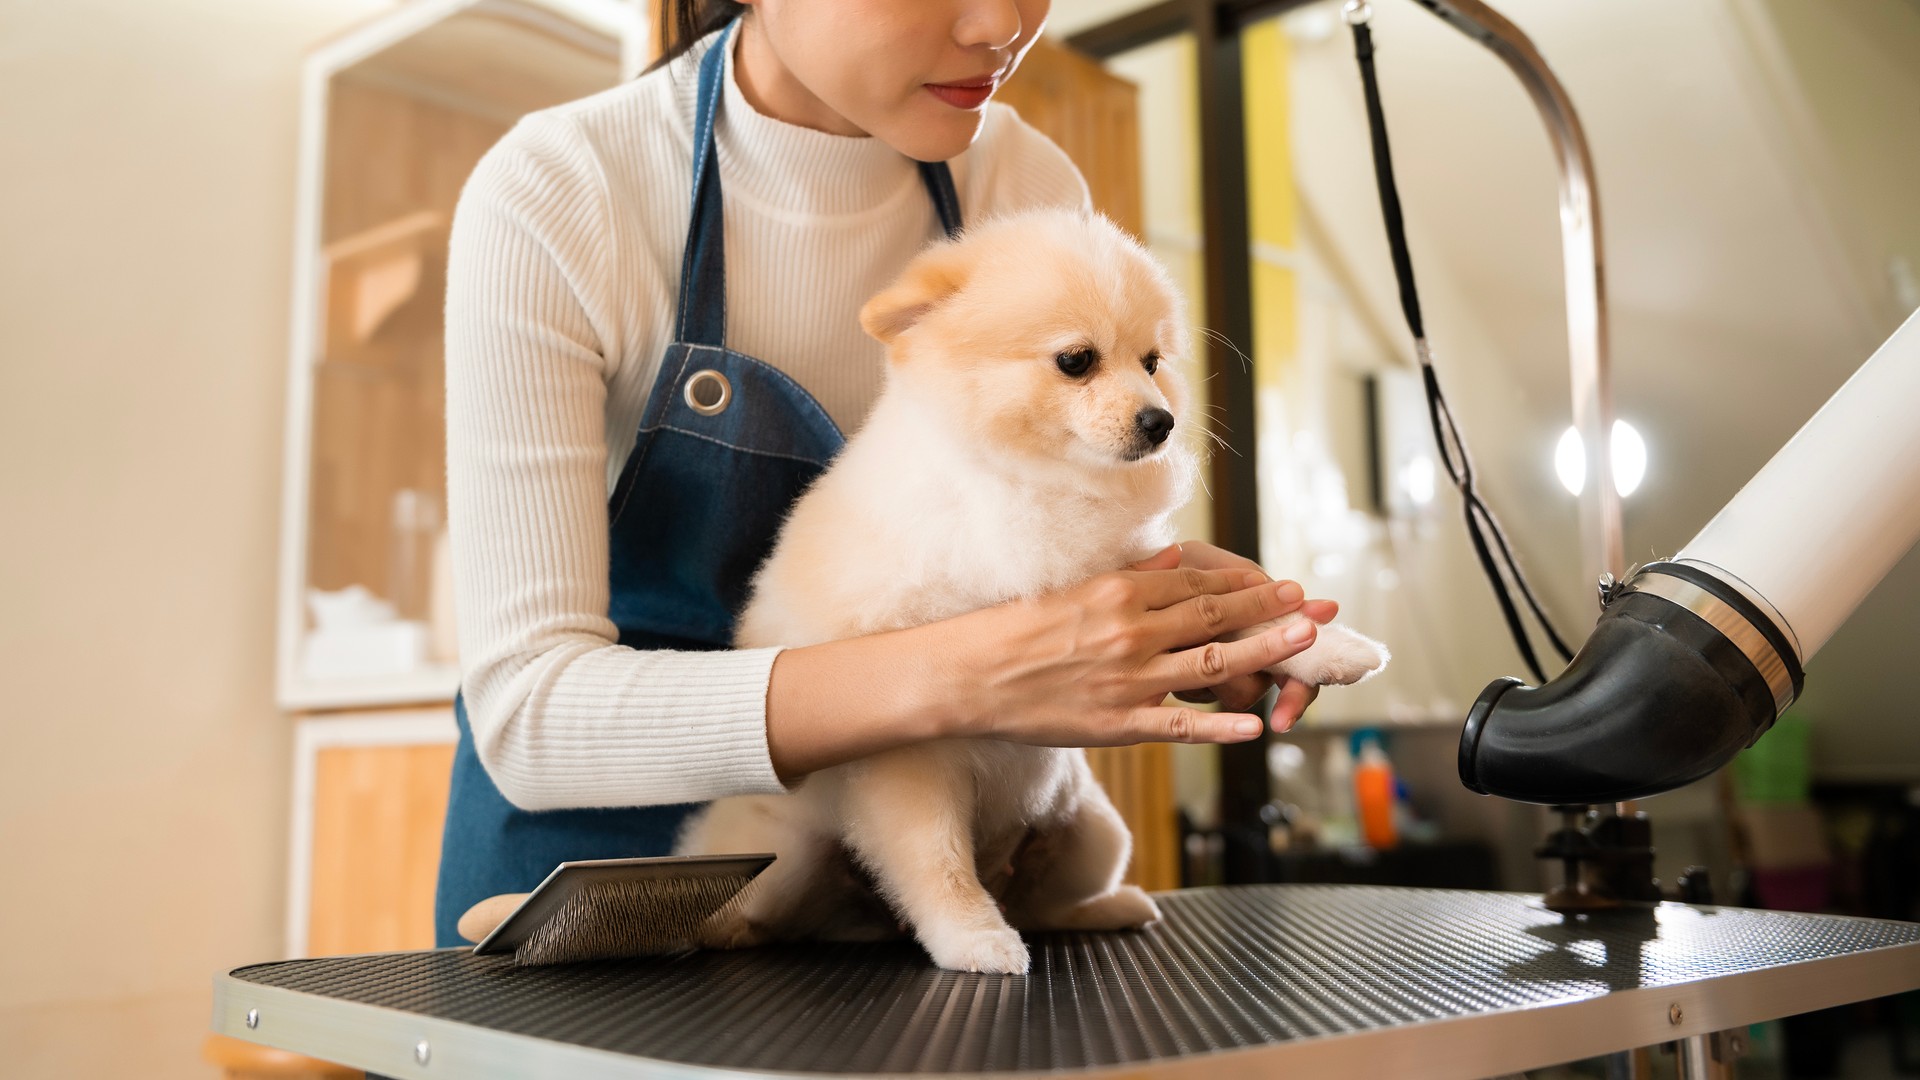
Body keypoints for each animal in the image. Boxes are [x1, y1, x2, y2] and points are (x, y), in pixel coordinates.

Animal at [675, 205, 1382, 972]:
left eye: (1152, 363)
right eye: (1077, 360)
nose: (1161, 420)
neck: (1030, 482)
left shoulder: (1144, 573)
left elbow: (1240, 620)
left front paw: (1327, 646)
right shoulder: (906, 755)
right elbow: (937, 861)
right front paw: (973, 937)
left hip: (1093, 832)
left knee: (1046, 901)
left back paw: (1112, 907)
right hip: (785, 854)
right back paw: (725, 929)